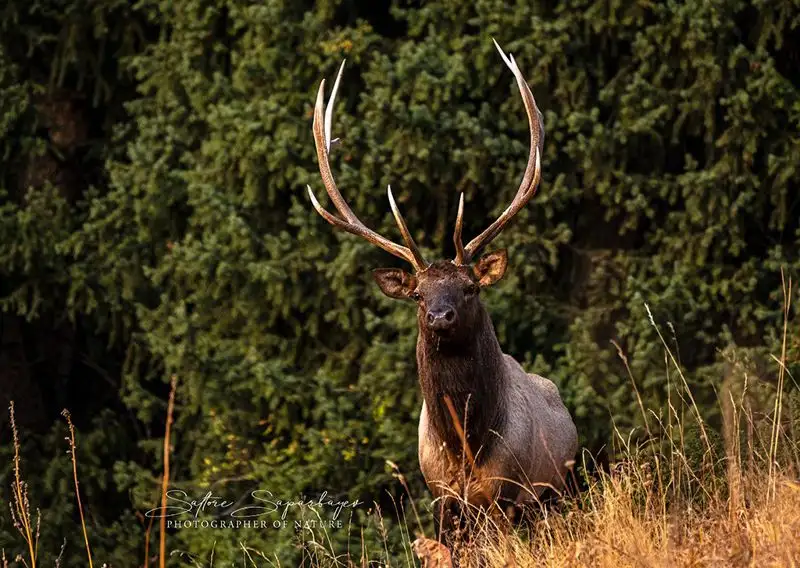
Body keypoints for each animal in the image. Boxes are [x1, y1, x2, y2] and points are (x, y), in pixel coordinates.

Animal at [304, 41, 576, 560]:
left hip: (558, 493)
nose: (439, 315)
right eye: (417, 293)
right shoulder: (442, 499)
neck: (465, 448)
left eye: (469, 287)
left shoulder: (505, 497)